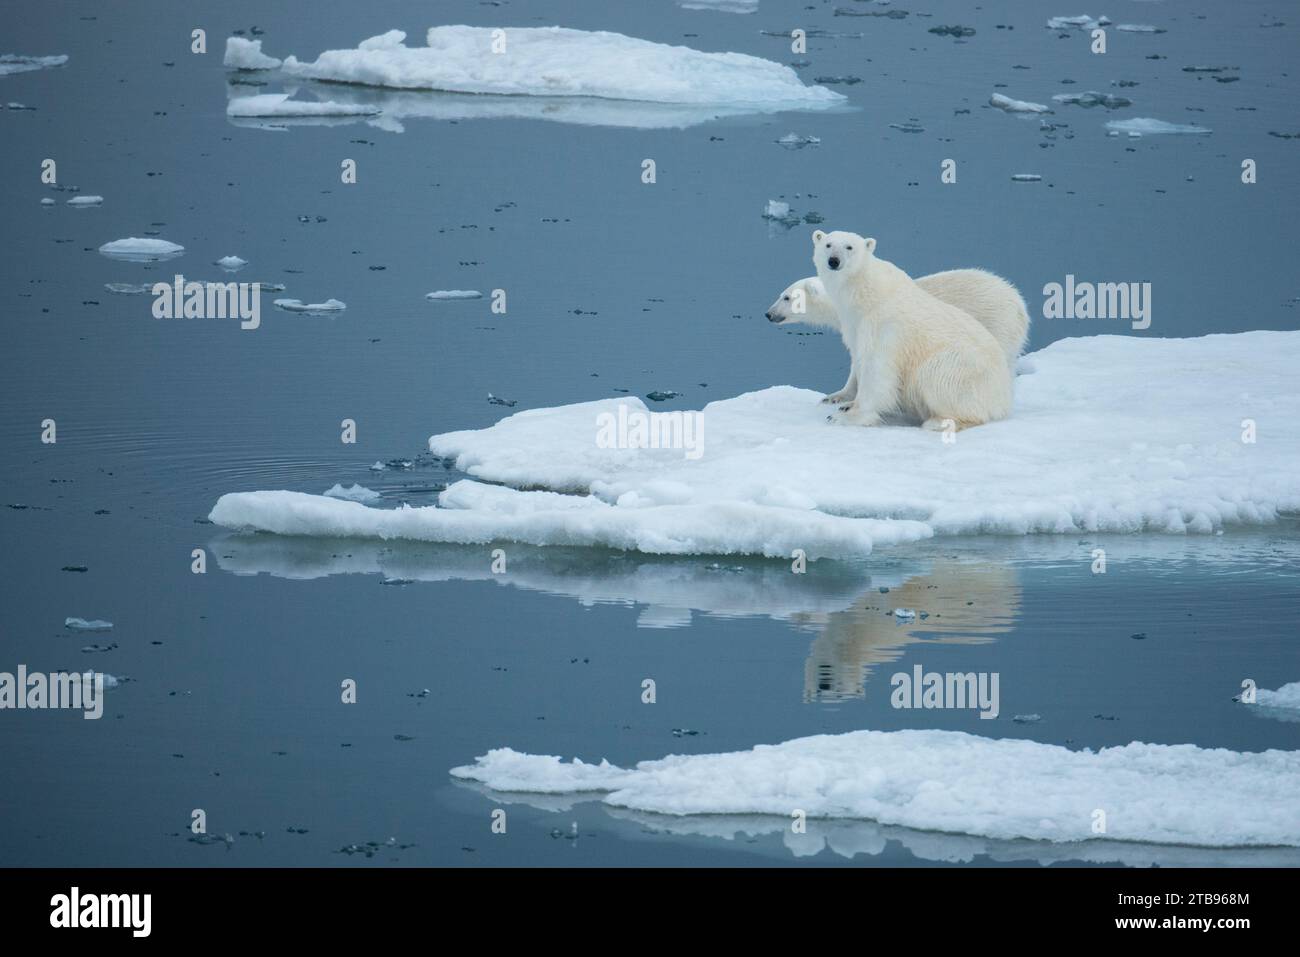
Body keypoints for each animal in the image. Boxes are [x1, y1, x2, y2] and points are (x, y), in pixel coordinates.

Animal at [765, 270, 1029, 406]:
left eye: (786, 297)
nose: (768, 314)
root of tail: (1019, 304)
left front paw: (839, 397)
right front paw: (834, 397)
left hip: (996, 323)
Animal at [812, 229, 1013, 431]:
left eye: (849, 247)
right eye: (828, 244)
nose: (834, 261)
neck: (865, 292)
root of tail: (1003, 398)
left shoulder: (884, 326)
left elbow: (877, 368)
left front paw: (845, 417)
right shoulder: (854, 324)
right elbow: (858, 360)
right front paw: (845, 403)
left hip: (962, 371)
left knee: (935, 376)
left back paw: (938, 421)